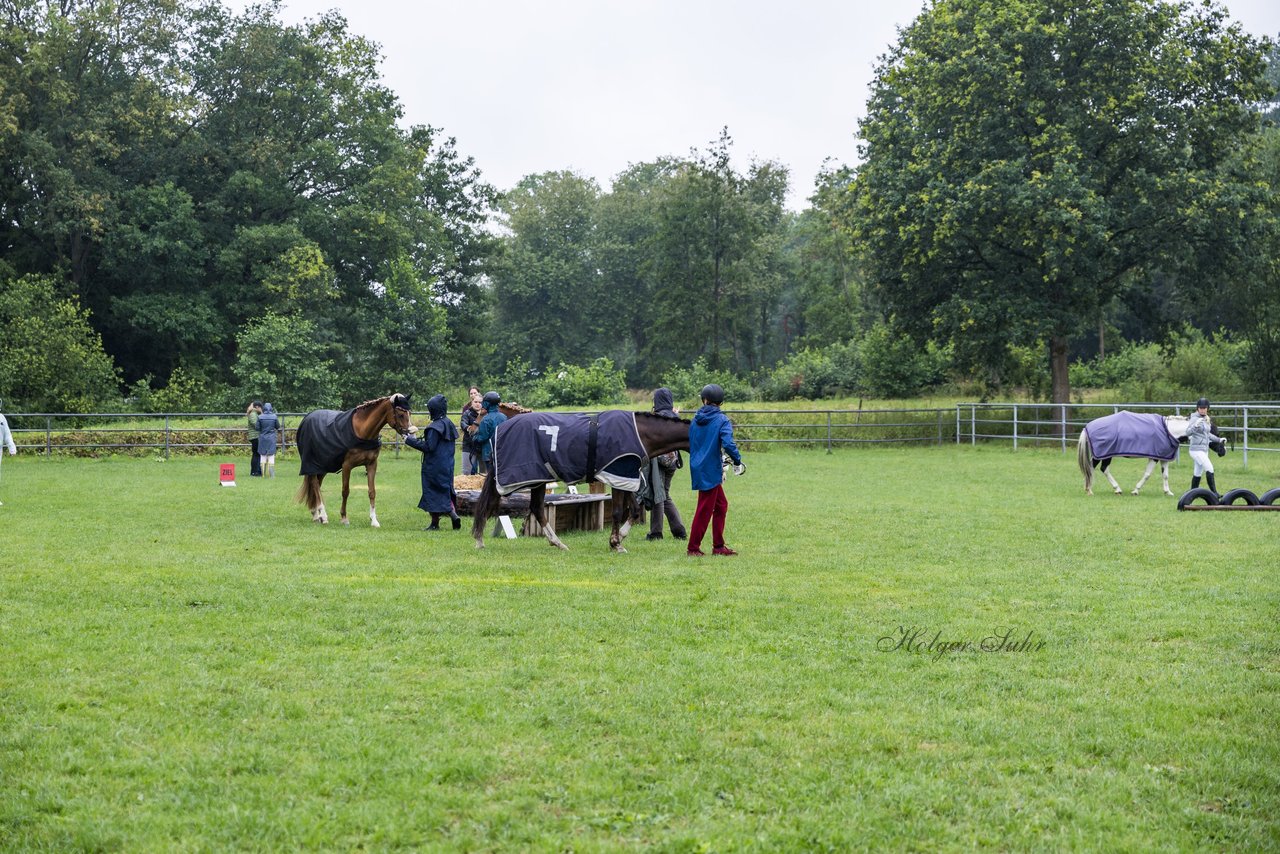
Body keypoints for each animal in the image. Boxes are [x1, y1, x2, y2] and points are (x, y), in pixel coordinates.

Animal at [294, 396, 414, 527]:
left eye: (410, 413)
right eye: (400, 414)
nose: (410, 432)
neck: (362, 431)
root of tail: (307, 418)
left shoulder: (372, 465)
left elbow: (372, 492)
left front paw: (374, 520)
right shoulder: (347, 466)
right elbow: (345, 491)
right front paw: (344, 517)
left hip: (322, 466)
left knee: (316, 485)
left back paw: (316, 514)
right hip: (312, 465)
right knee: (315, 485)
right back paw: (323, 516)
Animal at [471, 412, 691, 555]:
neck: (639, 432)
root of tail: (501, 427)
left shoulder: (626, 478)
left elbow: (635, 511)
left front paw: (619, 537)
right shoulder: (617, 473)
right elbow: (618, 512)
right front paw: (616, 543)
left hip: (538, 480)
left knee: (537, 508)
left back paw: (558, 543)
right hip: (524, 477)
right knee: (494, 503)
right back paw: (480, 540)